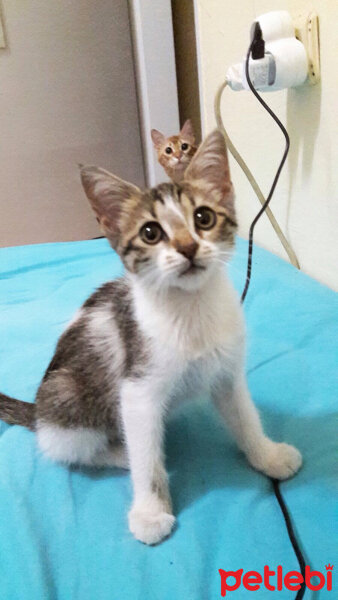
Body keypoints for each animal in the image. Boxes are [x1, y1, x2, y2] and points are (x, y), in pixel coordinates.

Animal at [0, 130, 302, 544]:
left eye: (203, 218)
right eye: (150, 233)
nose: (188, 247)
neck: (190, 309)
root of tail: (38, 412)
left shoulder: (226, 372)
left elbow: (245, 417)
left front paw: (268, 456)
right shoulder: (137, 390)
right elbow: (146, 458)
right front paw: (150, 511)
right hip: (68, 401)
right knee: (71, 448)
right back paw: (119, 452)